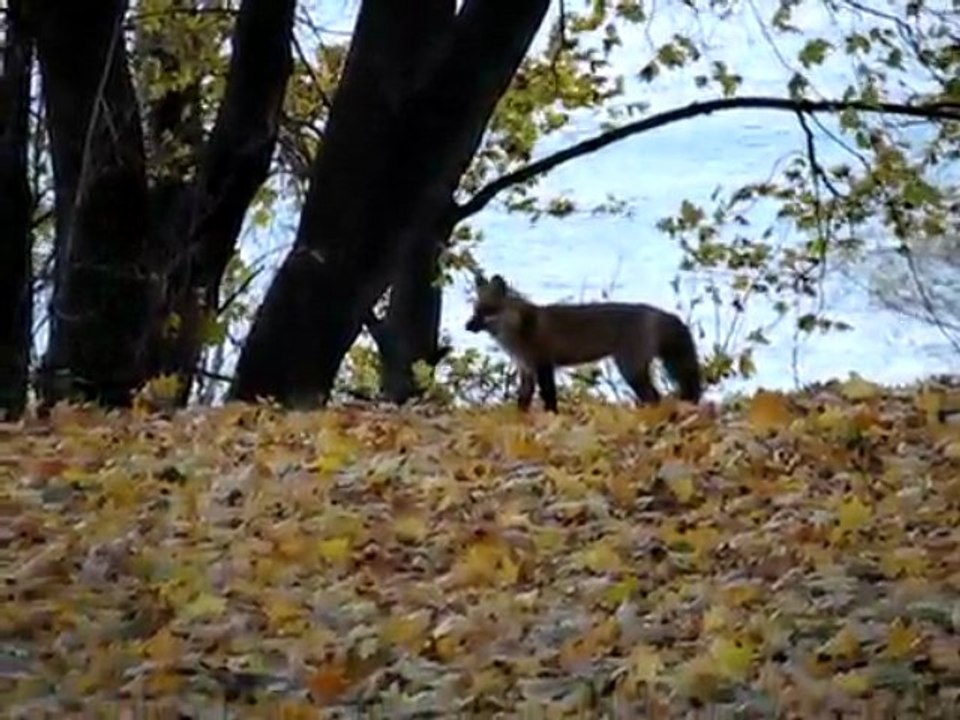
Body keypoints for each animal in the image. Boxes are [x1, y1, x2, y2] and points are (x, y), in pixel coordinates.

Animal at [465, 272, 702, 413]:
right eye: (475, 310)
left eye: (486, 311)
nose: (467, 326)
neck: (518, 328)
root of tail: (658, 313)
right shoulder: (527, 369)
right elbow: (522, 402)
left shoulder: (543, 365)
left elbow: (549, 398)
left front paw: (553, 420)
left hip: (629, 369)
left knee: (654, 397)